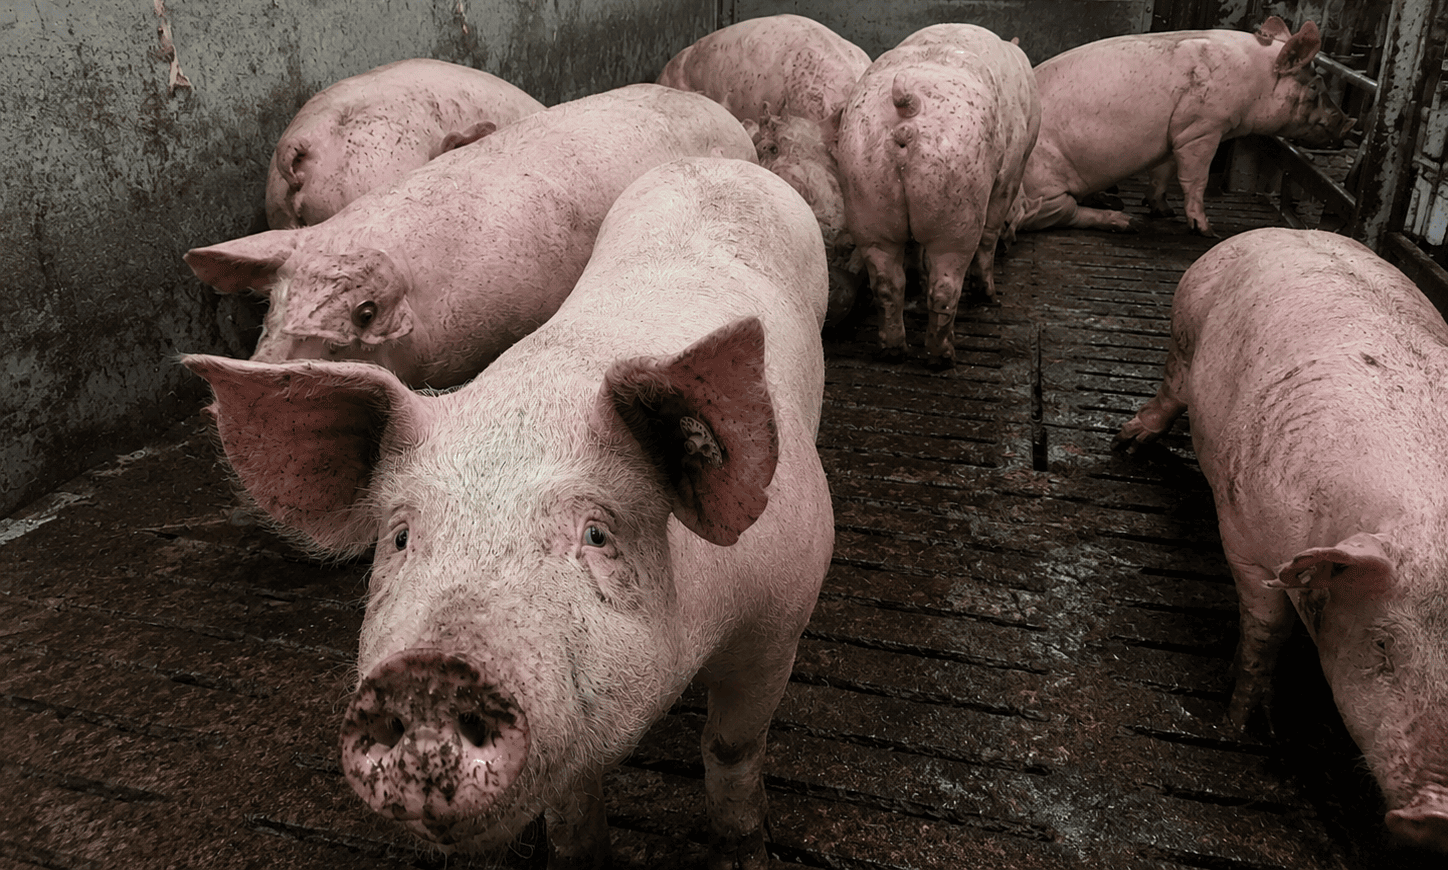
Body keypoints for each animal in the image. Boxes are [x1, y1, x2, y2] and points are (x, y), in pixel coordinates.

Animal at [181, 156, 836, 868]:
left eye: (596, 534)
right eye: (401, 537)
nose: (428, 674)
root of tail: (723, 162)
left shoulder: (782, 612)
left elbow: (731, 747)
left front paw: (741, 855)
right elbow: (572, 798)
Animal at [835, 23, 1040, 368]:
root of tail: (909, 104)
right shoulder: (1011, 174)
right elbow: (991, 233)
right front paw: (990, 296)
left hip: (864, 195)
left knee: (887, 283)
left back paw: (894, 350)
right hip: (957, 213)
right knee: (946, 284)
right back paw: (942, 356)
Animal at [1017, 17, 1354, 237]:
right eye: (1315, 86)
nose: (1347, 124)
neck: (1254, 81)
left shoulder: (1173, 134)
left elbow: (1162, 174)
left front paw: (1163, 211)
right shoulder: (1202, 128)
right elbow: (1194, 178)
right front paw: (1207, 231)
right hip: (1043, 188)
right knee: (1057, 215)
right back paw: (1128, 222)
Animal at [1113, 228, 1448, 852]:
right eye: (1383, 647)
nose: (1437, 817)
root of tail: (1279, 230)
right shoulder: (1246, 538)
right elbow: (1266, 629)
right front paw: (1245, 725)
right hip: (1183, 330)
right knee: (1171, 390)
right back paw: (1128, 444)